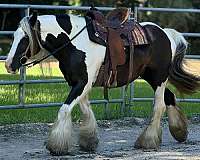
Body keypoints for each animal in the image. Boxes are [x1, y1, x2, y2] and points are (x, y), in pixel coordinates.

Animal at [4, 10, 200, 156]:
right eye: (14, 36)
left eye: (25, 38)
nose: (8, 65)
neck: (74, 43)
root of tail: (166, 33)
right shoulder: (79, 83)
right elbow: (85, 110)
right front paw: (89, 142)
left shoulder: (82, 83)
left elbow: (64, 110)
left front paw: (56, 146)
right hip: (151, 77)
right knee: (169, 98)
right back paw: (179, 131)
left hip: (158, 78)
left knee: (159, 106)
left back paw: (148, 141)